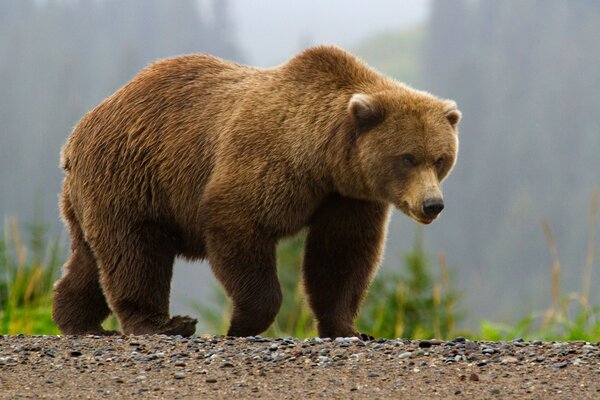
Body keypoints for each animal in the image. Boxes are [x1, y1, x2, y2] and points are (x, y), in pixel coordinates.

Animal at [54, 45, 462, 340]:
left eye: (441, 158)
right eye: (407, 157)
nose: (433, 204)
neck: (322, 159)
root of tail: (78, 132)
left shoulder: (348, 197)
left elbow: (341, 255)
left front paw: (349, 329)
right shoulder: (268, 162)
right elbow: (239, 223)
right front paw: (241, 324)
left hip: (96, 193)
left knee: (91, 258)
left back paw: (78, 320)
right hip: (133, 175)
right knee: (135, 252)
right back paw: (163, 324)